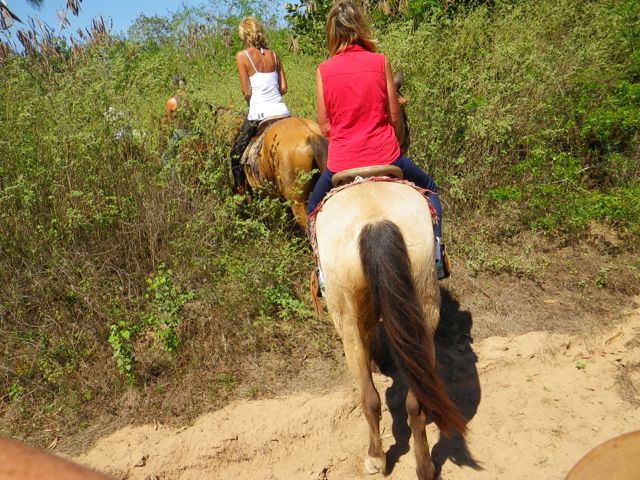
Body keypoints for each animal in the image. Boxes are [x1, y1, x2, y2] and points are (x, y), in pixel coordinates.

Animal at [312, 179, 466, 480]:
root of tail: (375, 221)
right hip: (424, 307)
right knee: (415, 403)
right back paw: (424, 466)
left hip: (346, 320)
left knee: (369, 398)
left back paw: (376, 458)